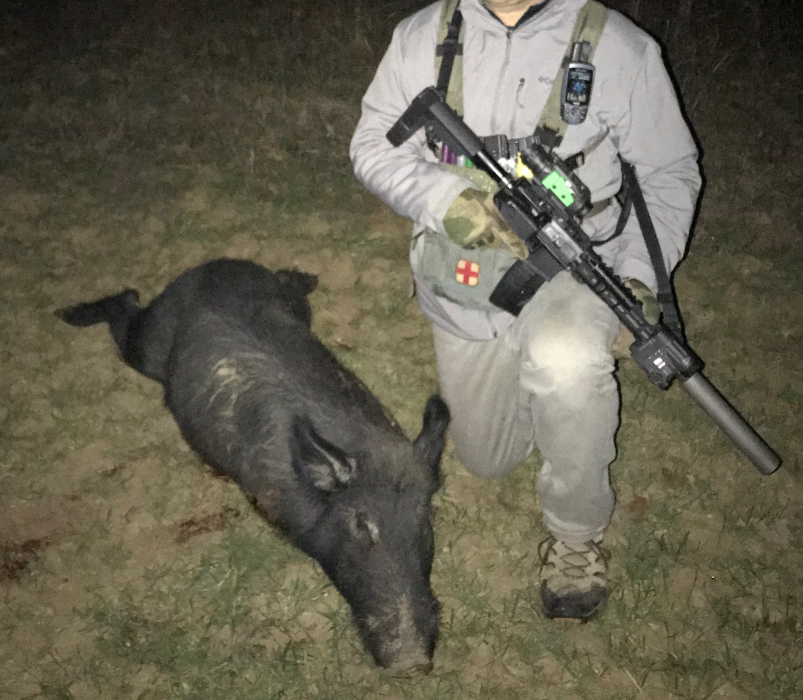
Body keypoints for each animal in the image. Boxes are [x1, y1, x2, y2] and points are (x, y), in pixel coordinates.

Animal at [56, 258, 450, 676]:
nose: (412, 662)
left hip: (291, 304)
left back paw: (306, 277)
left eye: (424, 518)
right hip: (148, 342)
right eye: (361, 523)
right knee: (127, 308)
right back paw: (66, 314)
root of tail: (213, 265)